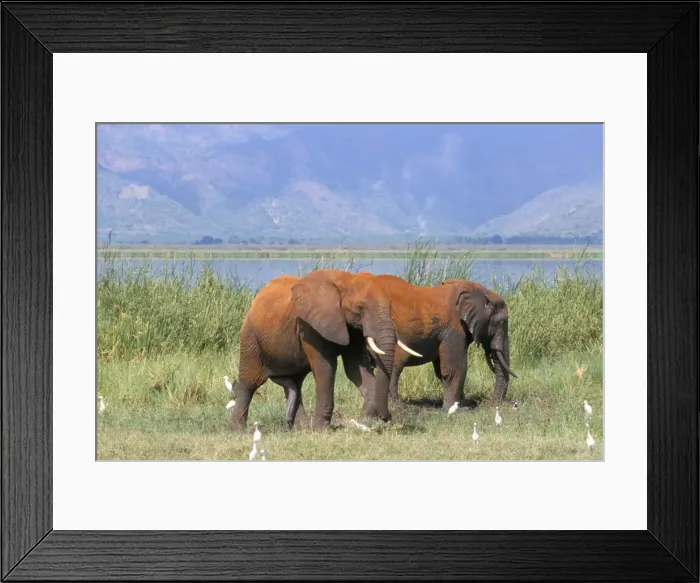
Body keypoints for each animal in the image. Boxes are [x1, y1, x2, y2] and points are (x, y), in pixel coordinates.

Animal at [228, 269, 422, 431]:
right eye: (360, 308)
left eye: (390, 307)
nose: (387, 417)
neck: (346, 280)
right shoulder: (310, 326)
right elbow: (325, 368)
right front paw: (323, 430)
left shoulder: (351, 328)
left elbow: (355, 368)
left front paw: (367, 418)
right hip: (250, 337)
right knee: (250, 382)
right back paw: (238, 430)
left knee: (294, 383)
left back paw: (301, 427)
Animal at [356, 275, 517, 410]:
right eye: (502, 322)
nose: (493, 402)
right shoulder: (453, 329)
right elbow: (455, 368)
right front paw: (456, 409)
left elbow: (441, 369)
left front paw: (460, 404)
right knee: (396, 364)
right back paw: (398, 405)